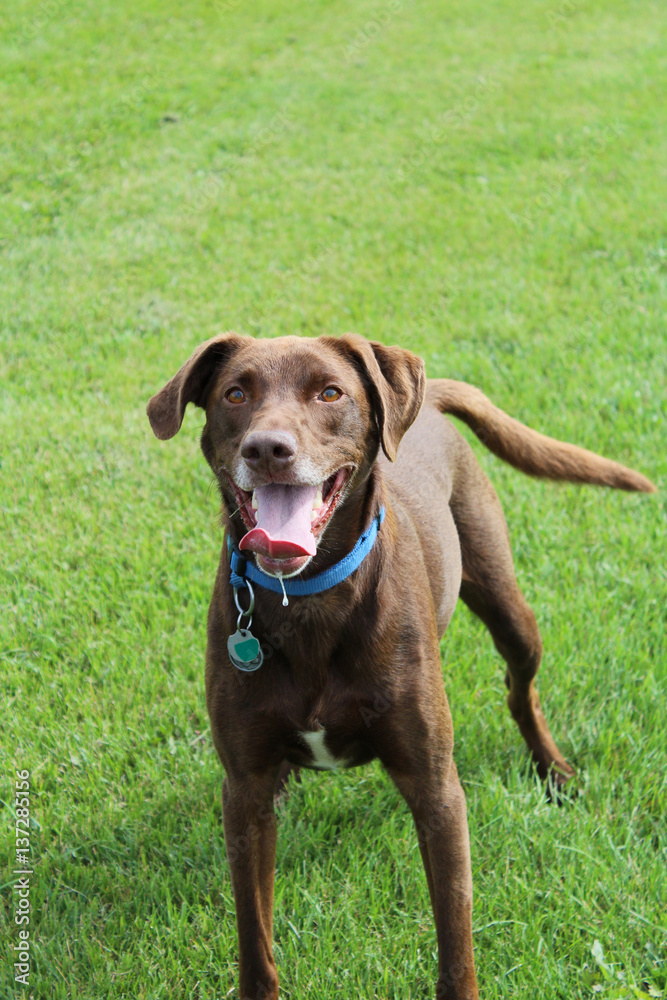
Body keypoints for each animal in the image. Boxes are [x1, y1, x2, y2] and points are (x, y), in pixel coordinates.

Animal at [147, 336, 656, 1000]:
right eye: (235, 393)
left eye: (330, 392)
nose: (267, 449)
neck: (309, 599)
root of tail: (431, 394)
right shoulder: (245, 797)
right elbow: (255, 941)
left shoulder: (437, 790)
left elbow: (455, 943)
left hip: (509, 607)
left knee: (520, 688)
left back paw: (553, 770)